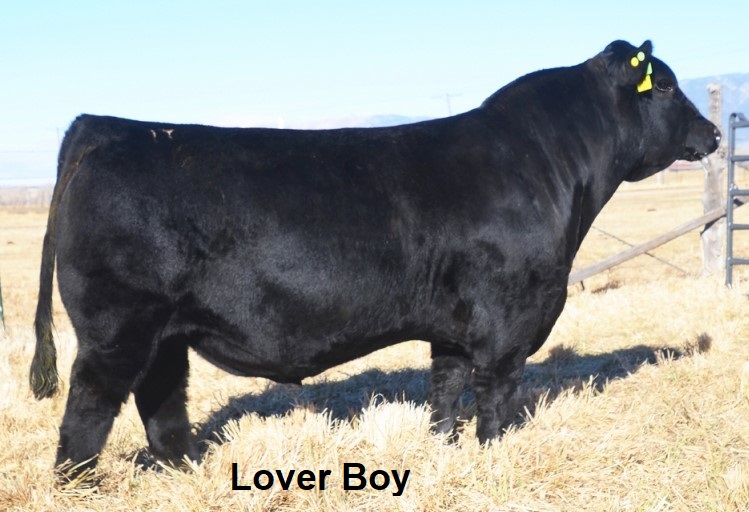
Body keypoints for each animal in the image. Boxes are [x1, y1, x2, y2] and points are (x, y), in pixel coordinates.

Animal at [30, 40, 719, 480]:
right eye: (668, 86)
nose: (712, 133)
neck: (550, 167)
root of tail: (107, 127)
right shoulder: (509, 319)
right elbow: (496, 394)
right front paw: (492, 454)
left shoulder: (453, 326)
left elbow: (445, 389)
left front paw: (443, 447)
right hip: (117, 326)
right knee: (89, 407)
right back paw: (80, 484)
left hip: (166, 331)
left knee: (162, 399)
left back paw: (188, 468)